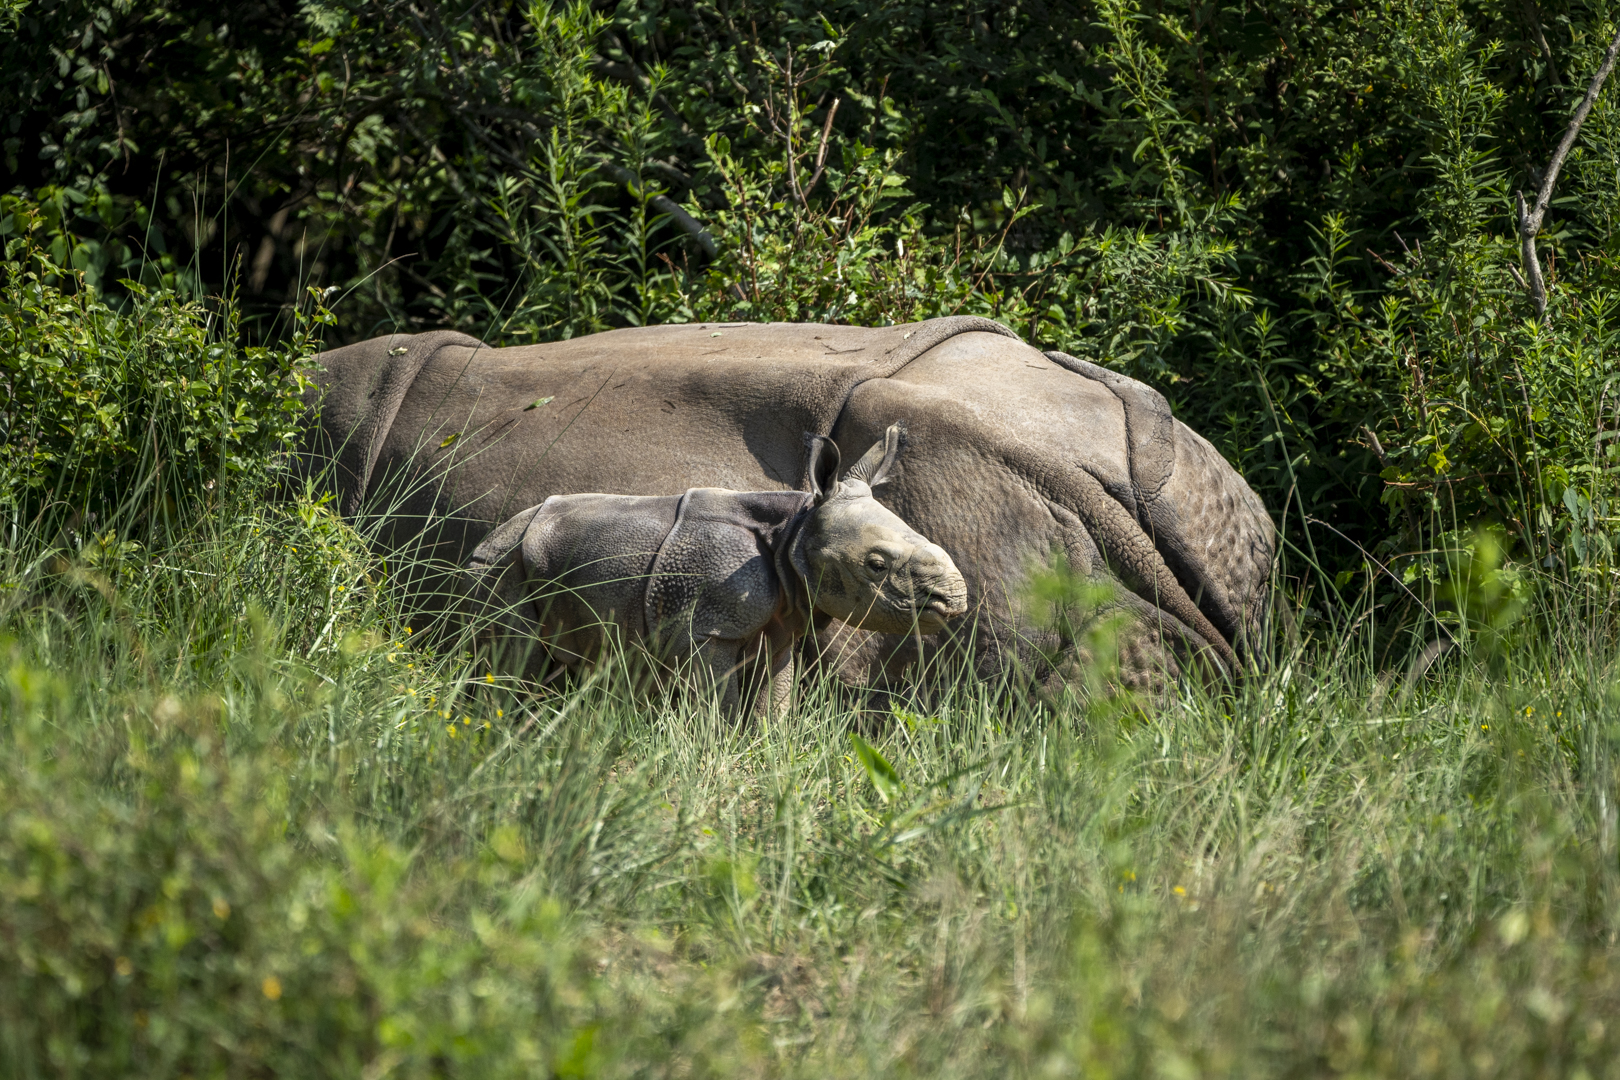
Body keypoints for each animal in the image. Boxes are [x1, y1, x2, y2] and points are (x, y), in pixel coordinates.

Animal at [464, 423, 967, 714]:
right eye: (877, 565)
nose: (955, 601)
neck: (795, 531)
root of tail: (490, 538)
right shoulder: (708, 627)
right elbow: (716, 703)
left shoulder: (782, 613)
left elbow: (774, 695)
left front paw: (767, 752)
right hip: (502, 565)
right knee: (515, 658)